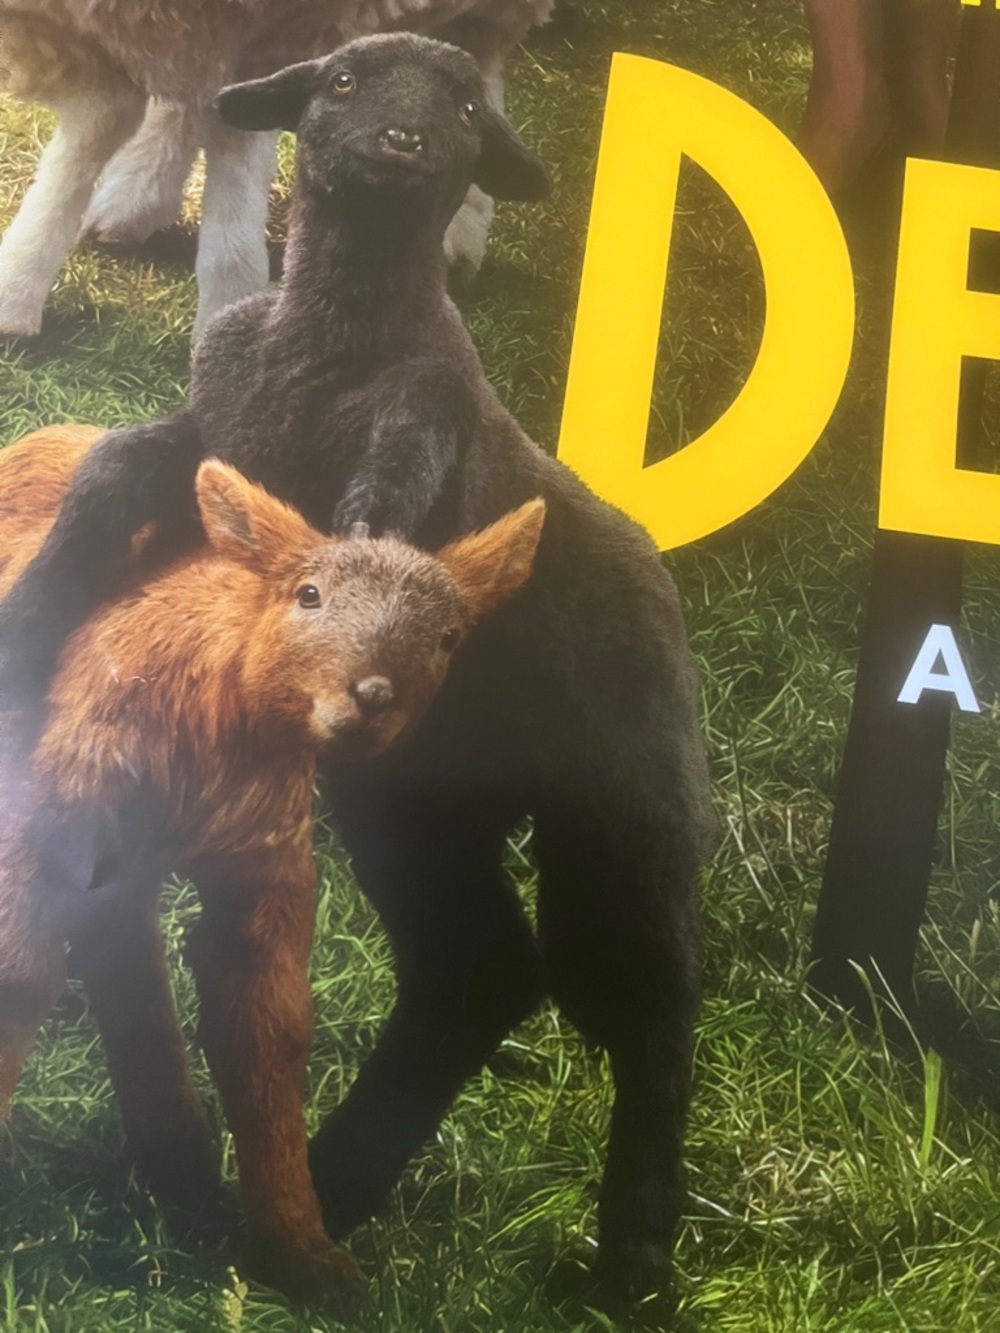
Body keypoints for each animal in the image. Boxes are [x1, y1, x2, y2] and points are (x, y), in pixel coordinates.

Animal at [0, 0, 554, 340]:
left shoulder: (279, 26)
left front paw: (229, 303)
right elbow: (92, 136)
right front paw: (18, 287)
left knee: (475, 67)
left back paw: (459, 232)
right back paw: (134, 202)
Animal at [0, 421, 545, 1304]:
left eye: (448, 635)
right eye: (308, 594)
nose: (372, 696)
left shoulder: (264, 865)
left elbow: (266, 1029)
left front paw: (305, 1258)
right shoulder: (52, 813)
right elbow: (20, 971)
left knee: (125, 945)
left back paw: (181, 1175)